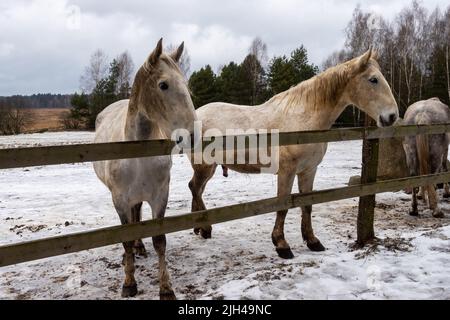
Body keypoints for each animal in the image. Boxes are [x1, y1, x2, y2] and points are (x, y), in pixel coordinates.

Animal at [92, 38, 195, 298]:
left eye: (186, 85)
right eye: (163, 85)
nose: (192, 135)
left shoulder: (160, 196)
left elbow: (159, 240)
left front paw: (166, 288)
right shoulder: (119, 200)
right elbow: (126, 238)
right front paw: (129, 283)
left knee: (137, 213)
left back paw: (140, 248)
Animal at [188, 50, 400, 260]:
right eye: (373, 79)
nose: (392, 117)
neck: (303, 121)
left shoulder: (308, 170)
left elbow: (307, 205)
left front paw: (312, 241)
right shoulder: (286, 172)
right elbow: (282, 206)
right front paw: (281, 244)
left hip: (209, 168)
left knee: (197, 189)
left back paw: (198, 227)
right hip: (204, 166)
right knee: (195, 188)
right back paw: (205, 228)